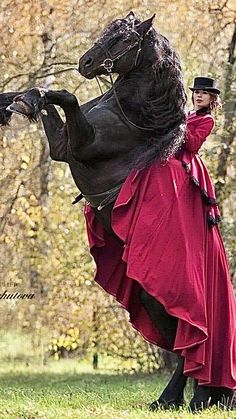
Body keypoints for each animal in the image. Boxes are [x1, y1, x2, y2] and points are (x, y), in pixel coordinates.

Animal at [0, 11, 231, 412]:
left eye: (122, 39)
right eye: (109, 30)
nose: (85, 62)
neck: (135, 119)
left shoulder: (75, 146)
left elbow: (65, 96)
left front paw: (28, 101)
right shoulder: (63, 144)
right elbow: (48, 96)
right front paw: (18, 100)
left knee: (188, 351)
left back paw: (183, 400)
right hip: (149, 300)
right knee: (182, 348)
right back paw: (175, 400)